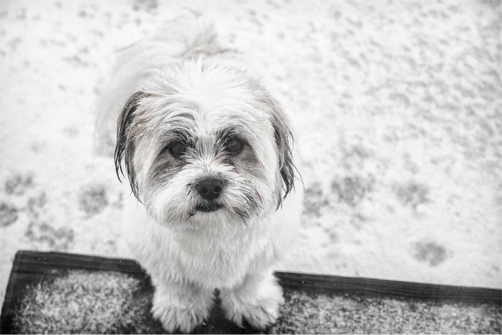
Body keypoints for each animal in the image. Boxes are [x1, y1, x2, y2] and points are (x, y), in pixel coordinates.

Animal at [95, 10, 302, 334]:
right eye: (177, 148)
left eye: (234, 144)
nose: (209, 185)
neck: (212, 231)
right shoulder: (159, 257)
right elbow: (179, 284)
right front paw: (181, 309)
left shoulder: (263, 253)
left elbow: (249, 280)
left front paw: (251, 305)